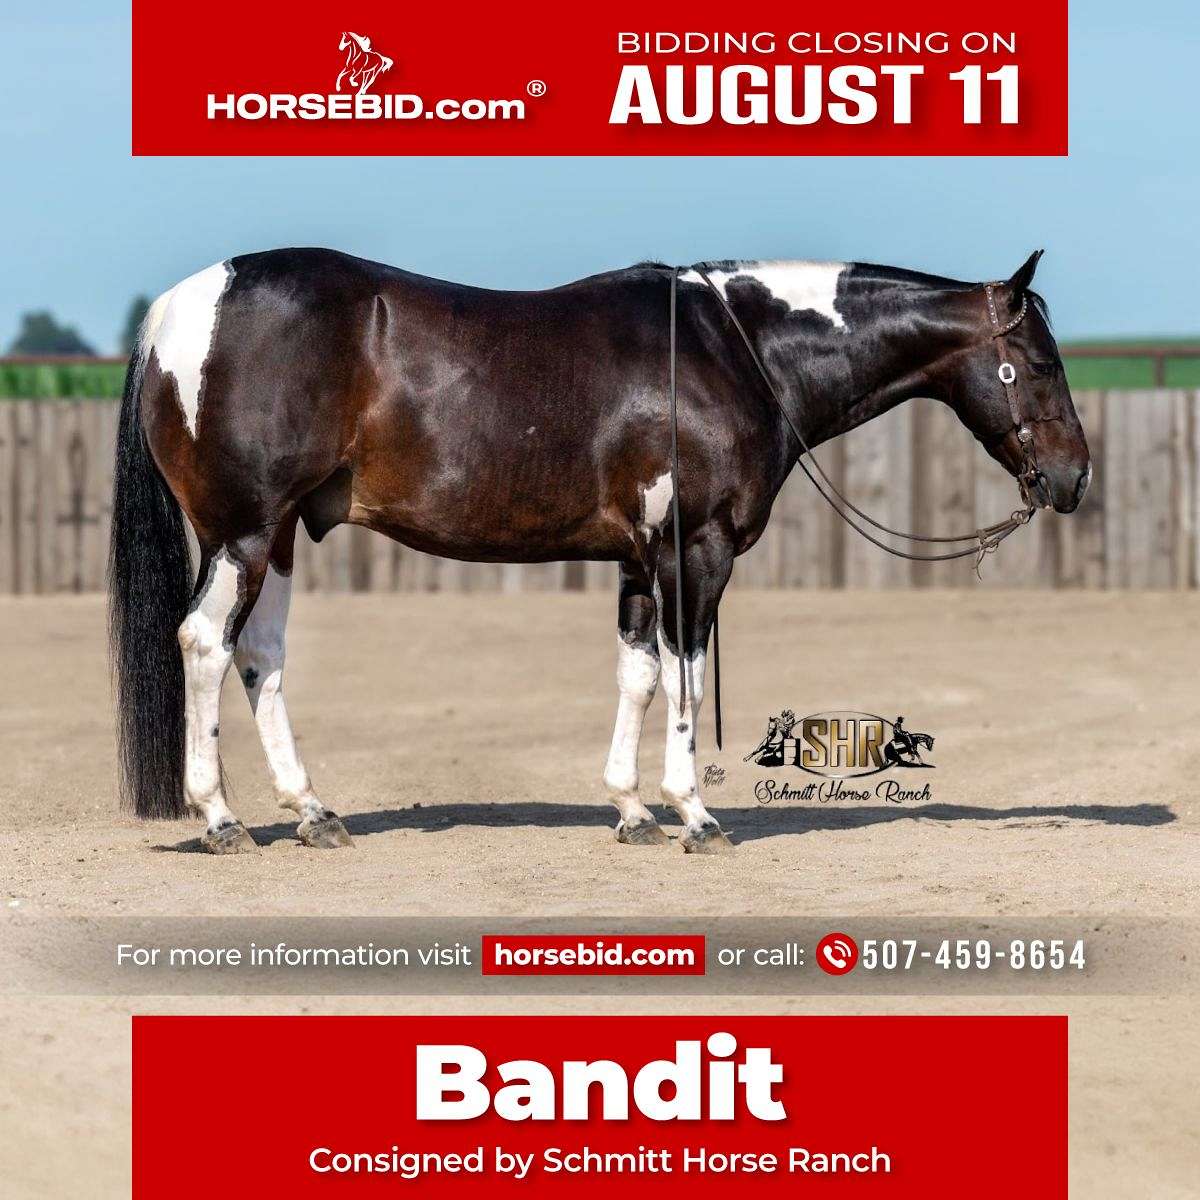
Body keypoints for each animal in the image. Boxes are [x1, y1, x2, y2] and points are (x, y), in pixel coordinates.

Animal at [108, 249, 1090, 855]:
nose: (1074, 477)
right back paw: (221, 818)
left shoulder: (638, 561)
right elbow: (686, 676)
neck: (734, 350)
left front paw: (630, 809)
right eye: (1042, 363)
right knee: (205, 642)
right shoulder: (698, 553)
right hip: (241, 531)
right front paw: (693, 813)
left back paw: (313, 813)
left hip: (276, 535)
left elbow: (639, 676)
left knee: (261, 656)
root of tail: (176, 313)